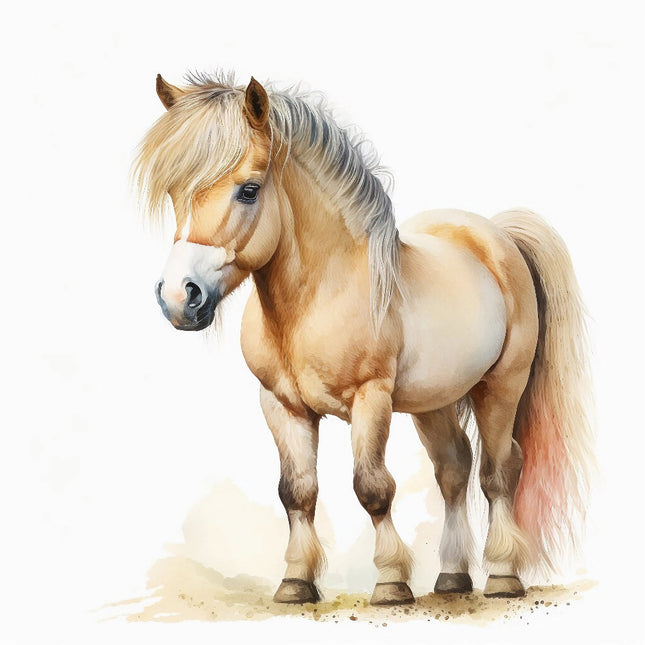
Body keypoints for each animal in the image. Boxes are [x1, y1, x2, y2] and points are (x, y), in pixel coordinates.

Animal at [134, 71, 595, 606]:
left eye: (248, 190)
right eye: (175, 192)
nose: (178, 297)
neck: (318, 296)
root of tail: (496, 235)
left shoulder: (369, 399)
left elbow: (372, 487)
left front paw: (392, 581)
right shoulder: (281, 405)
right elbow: (297, 491)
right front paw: (295, 582)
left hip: (500, 387)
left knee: (499, 471)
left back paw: (502, 574)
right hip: (433, 402)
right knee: (454, 469)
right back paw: (452, 577)